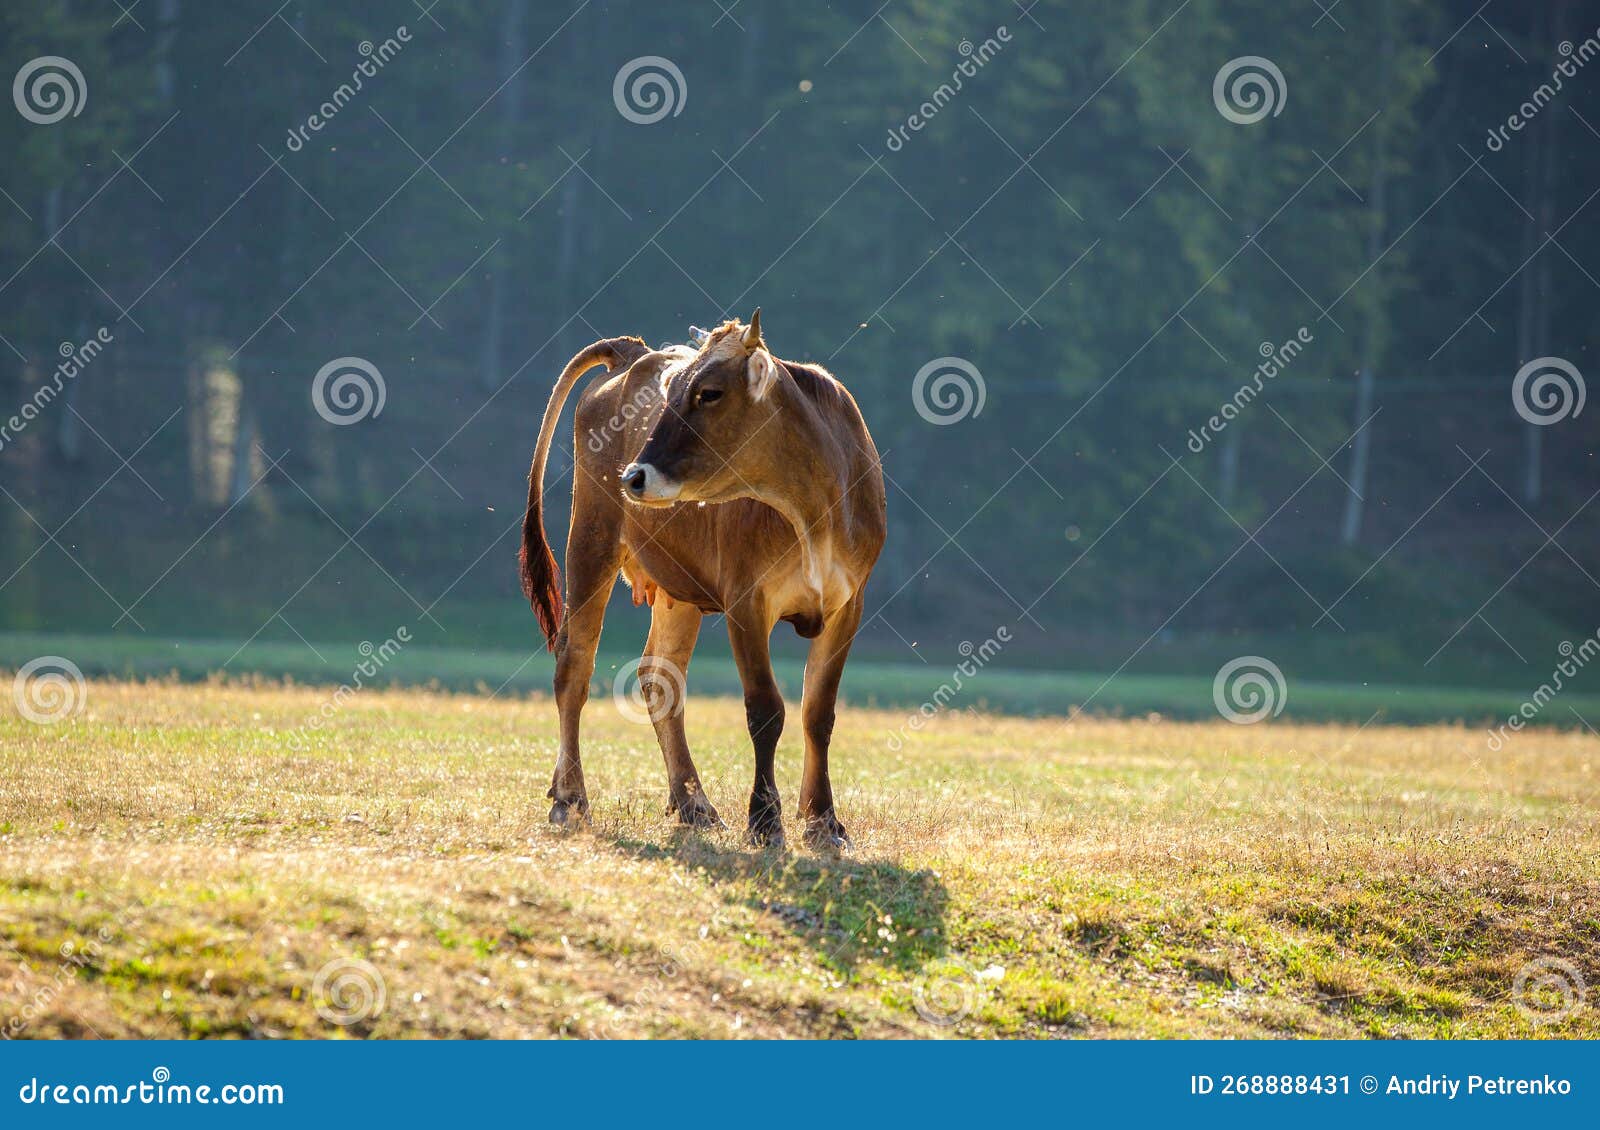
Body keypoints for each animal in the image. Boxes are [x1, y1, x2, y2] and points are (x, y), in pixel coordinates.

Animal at [519, 310, 886, 852]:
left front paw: (823, 822)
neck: (813, 511)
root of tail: (633, 352)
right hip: (590, 536)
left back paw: (694, 804)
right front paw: (765, 821)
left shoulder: (849, 603)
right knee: (574, 666)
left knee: (659, 677)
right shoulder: (746, 600)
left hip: (678, 590)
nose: (634, 476)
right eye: (670, 392)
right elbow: (765, 709)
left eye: (709, 392)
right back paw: (570, 798)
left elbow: (818, 712)